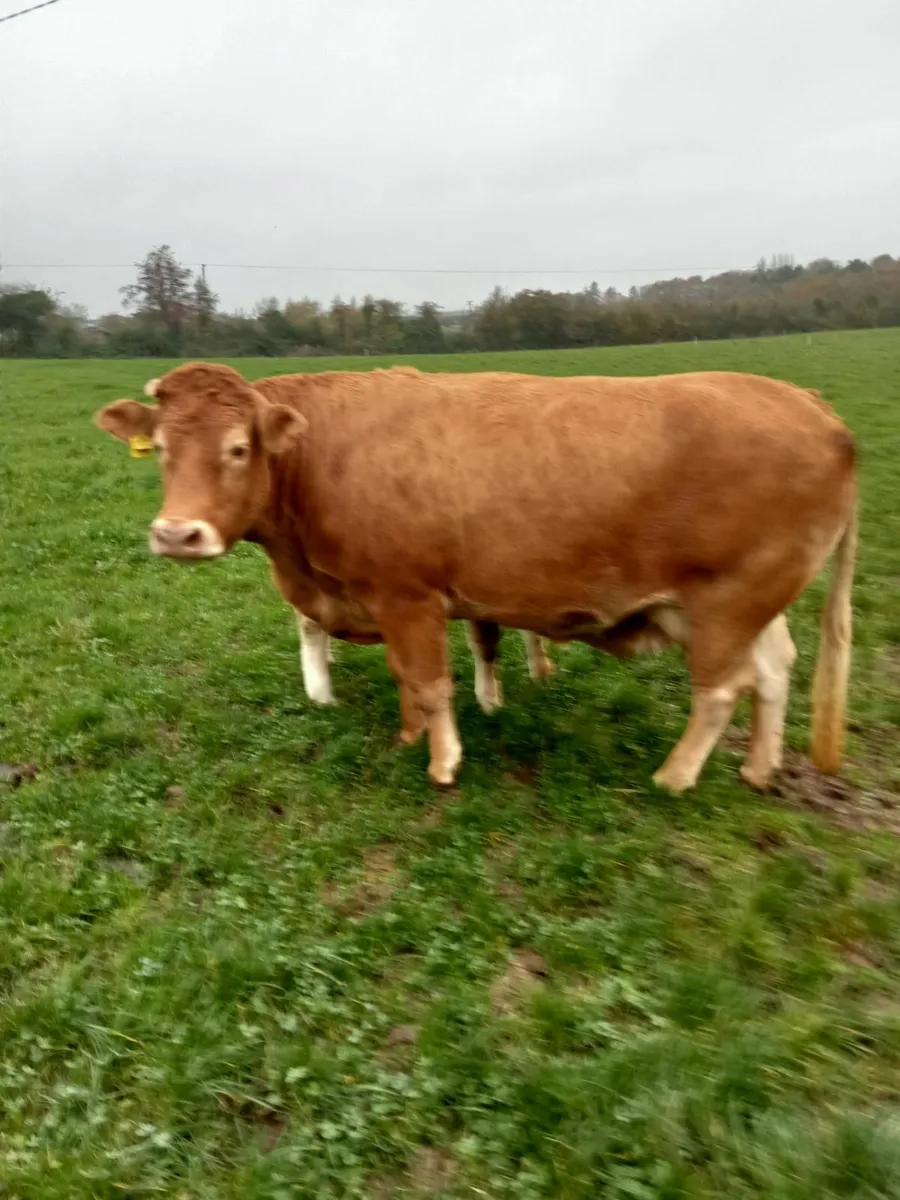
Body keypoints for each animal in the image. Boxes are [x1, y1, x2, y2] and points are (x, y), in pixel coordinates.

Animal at [93, 362, 857, 792]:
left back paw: (673, 777)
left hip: (729, 601)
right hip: (755, 602)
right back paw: (759, 768)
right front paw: (409, 737)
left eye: (238, 448)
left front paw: (442, 761)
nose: (177, 534)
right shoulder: (386, 599)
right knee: (776, 668)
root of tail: (811, 403)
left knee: (723, 689)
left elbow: (430, 682)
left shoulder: (407, 596)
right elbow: (408, 678)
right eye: (162, 449)